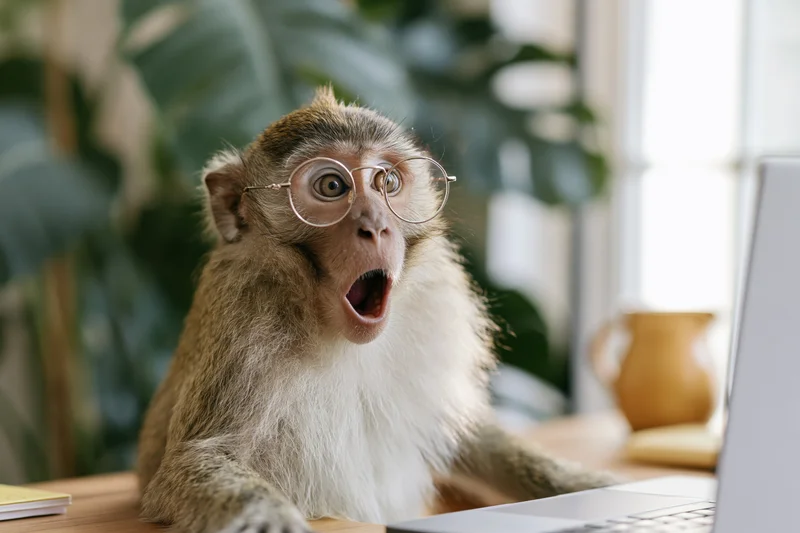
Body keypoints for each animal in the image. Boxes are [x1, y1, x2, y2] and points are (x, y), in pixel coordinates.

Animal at [135, 86, 619, 533]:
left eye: (387, 182)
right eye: (332, 186)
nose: (377, 226)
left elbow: (466, 437)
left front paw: (589, 487)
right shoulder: (240, 320)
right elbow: (190, 461)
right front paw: (269, 518)